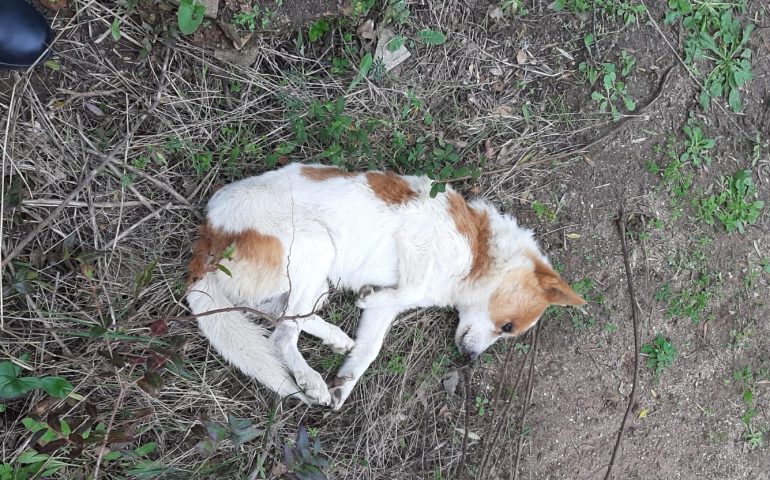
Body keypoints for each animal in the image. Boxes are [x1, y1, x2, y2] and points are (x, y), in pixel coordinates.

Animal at [186, 164, 584, 408]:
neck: (482, 252)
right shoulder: (416, 241)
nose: (468, 359)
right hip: (317, 246)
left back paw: (335, 339)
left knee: (283, 315)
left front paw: (345, 382)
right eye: (507, 326)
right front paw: (365, 297)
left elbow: (369, 350)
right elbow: (407, 289)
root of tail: (208, 235)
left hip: (314, 284)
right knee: (282, 333)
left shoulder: (388, 309)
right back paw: (310, 380)